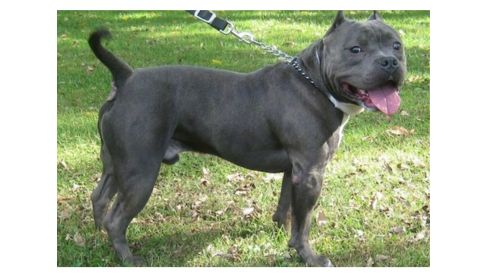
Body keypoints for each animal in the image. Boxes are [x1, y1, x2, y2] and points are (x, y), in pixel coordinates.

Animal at [87, 11, 404, 266]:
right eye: (355, 49)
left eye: (397, 45)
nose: (390, 62)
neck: (315, 83)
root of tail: (126, 78)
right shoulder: (311, 173)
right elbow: (304, 222)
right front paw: (308, 257)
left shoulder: (294, 170)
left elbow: (287, 208)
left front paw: (281, 234)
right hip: (140, 173)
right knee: (117, 219)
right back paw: (129, 259)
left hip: (116, 165)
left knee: (100, 198)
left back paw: (99, 239)